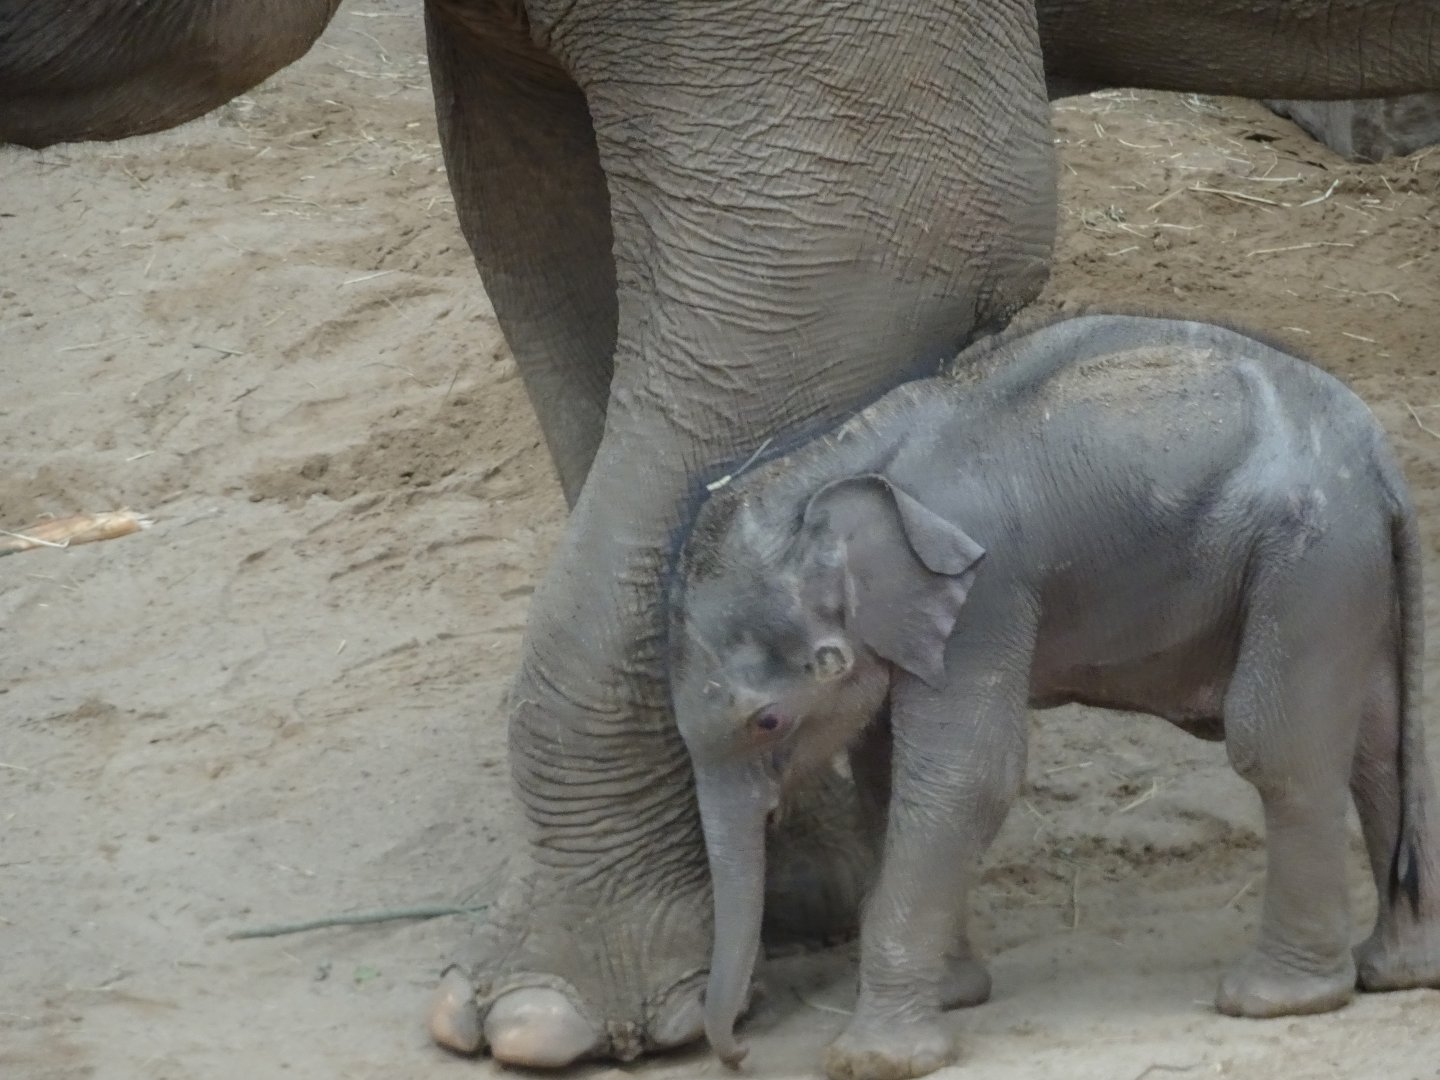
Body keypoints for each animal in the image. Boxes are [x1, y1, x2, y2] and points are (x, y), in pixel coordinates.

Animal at [668, 312, 1440, 1080]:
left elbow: (965, 777)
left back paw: (1276, 1000)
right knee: (1376, 739)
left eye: (767, 721)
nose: (737, 1051)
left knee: (1278, 749)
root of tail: (1377, 452)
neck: (838, 465)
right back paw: (1396, 972)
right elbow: (885, 775)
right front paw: (951, 998)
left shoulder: (986, 595)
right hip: (1342, 562)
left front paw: (874, 1059)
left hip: (1310, 555)